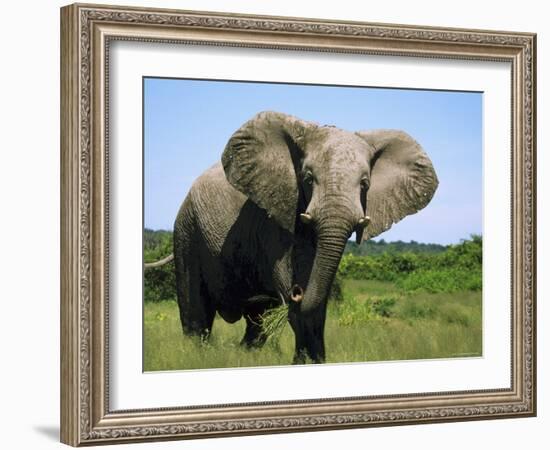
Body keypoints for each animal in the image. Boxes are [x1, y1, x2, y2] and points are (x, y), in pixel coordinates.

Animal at [166, 110, 438, 364]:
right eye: (307, 179)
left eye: (364, 184)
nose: (298, 290)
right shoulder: (274, 219)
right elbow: (292, 292)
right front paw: (304, 361)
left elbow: (318, 303)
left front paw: (315, 362)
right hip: (186, 229)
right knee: (195, 310)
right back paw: (196, 356)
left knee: (256, 319)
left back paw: (245, 354)